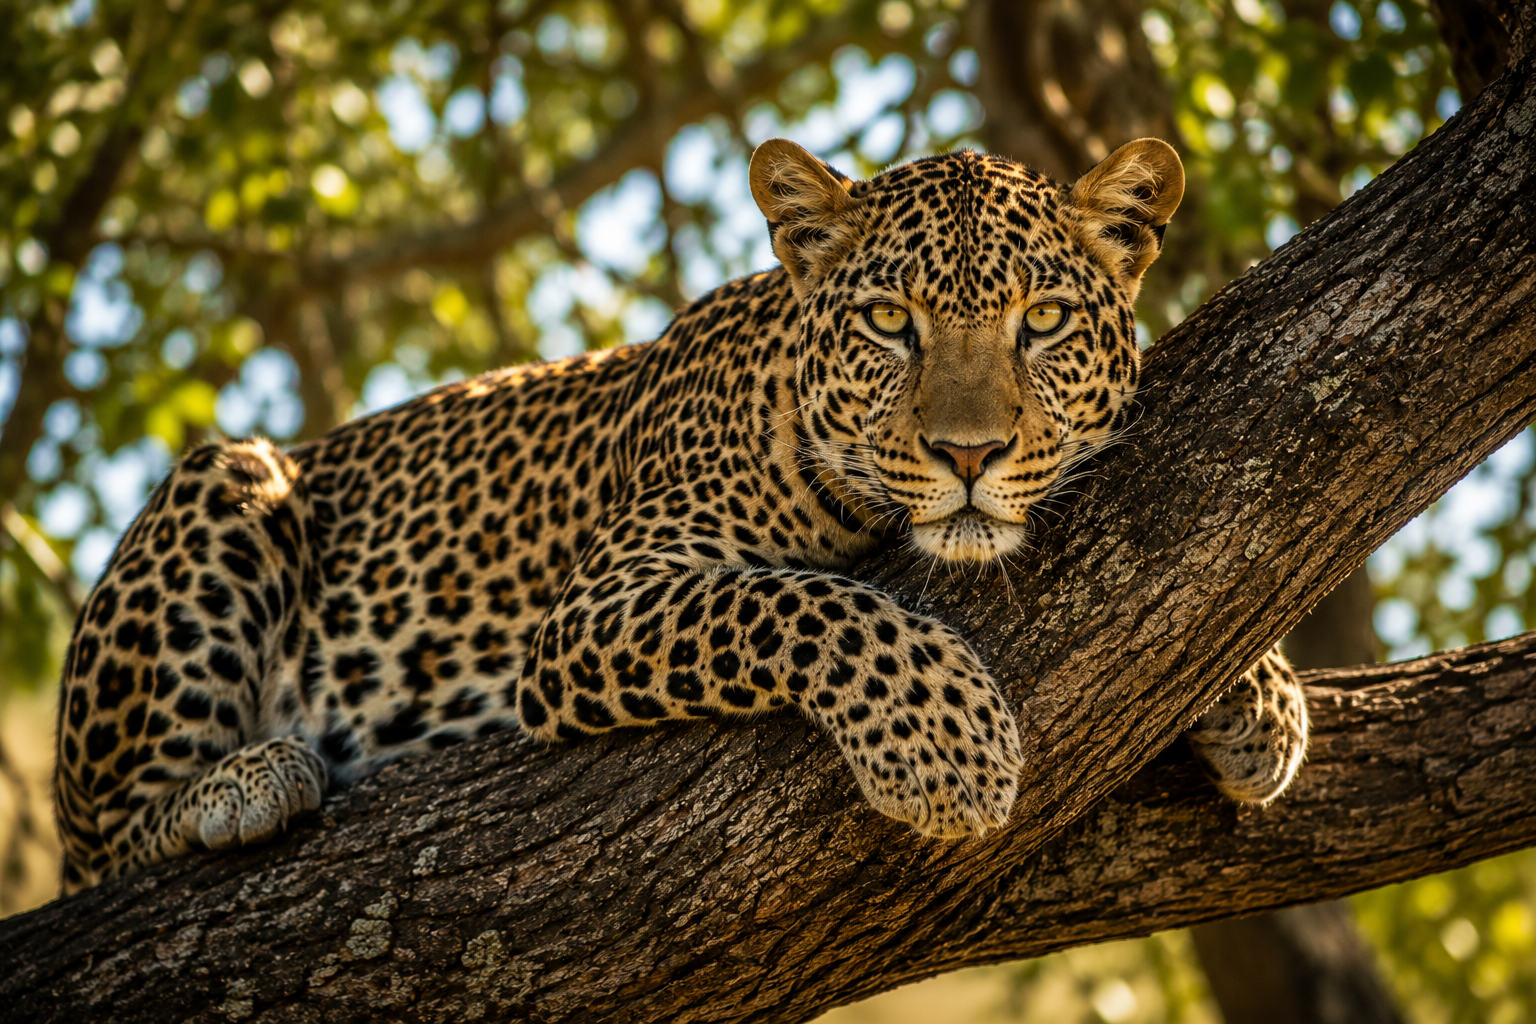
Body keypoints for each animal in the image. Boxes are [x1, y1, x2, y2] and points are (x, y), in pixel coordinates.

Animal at [53, 138, 1308, 894]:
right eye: (890, 323)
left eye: (1042, 319)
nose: (968, 453)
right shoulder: (591, 610)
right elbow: (803, 604)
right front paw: (945, 746)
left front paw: (1263, 695)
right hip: (226, 481)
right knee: (106, 840)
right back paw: (254, 779)